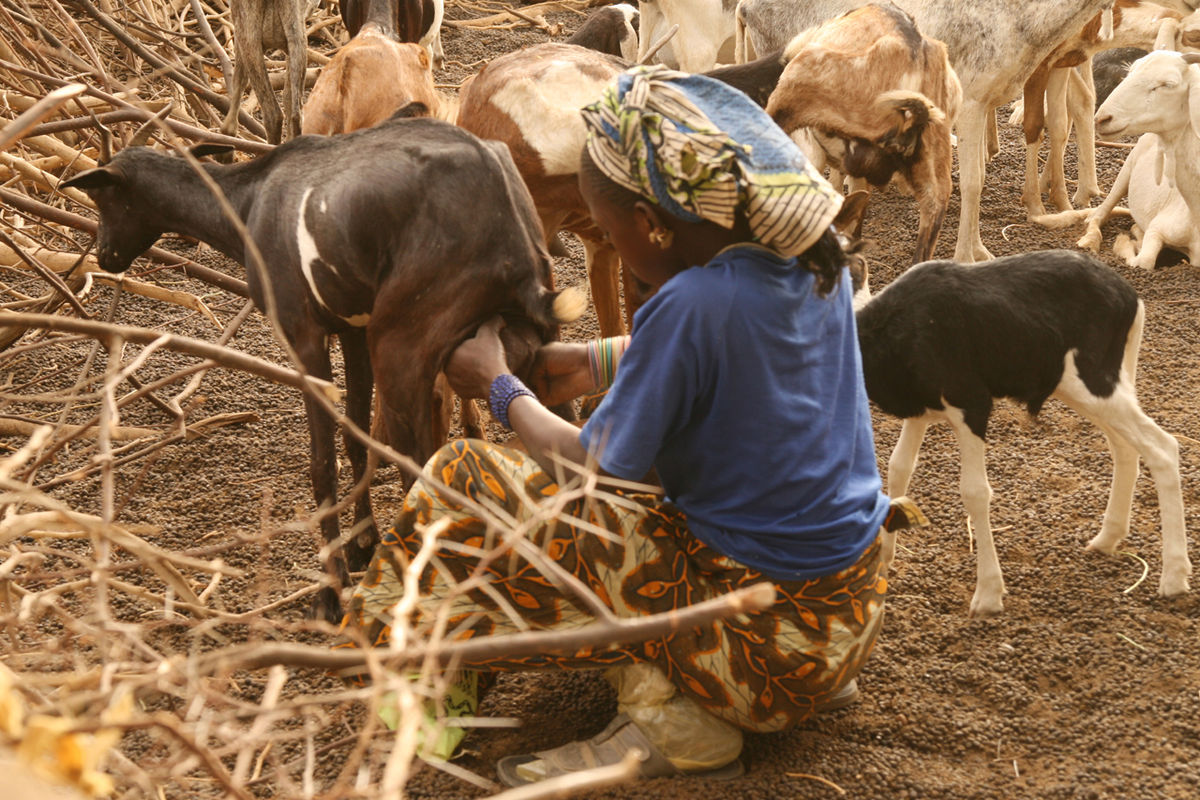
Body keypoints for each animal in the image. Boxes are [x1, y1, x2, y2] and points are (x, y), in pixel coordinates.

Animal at [854, 241, 1190, 618]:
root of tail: (1128, 296)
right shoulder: (920, 412)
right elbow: (898, 470)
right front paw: (884, 562)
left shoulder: (971, 404)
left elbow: (974, 491)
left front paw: (988, 594)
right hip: (1094, 386)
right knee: (1125, 447)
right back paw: (1107, 539)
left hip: (1092, 383)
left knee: (1162, 446)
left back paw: (1174, 577)